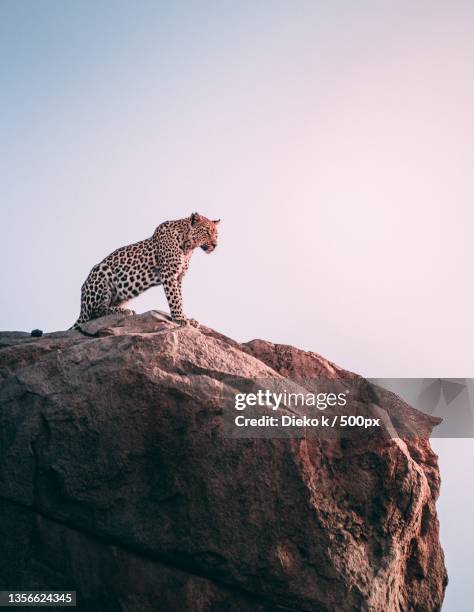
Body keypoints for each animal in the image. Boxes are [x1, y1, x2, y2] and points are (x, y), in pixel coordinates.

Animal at [70, 214, 220, 330]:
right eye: (207, 232)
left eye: (216, 235)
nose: (215, 245)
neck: (188, 247)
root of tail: (81, 307)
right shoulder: (169, 273)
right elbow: (174, 298)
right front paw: (180, 318)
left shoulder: (179, 277)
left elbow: (180, 298)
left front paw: (185, 317)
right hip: (101, 271)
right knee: (95, 312)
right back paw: (125, 311)